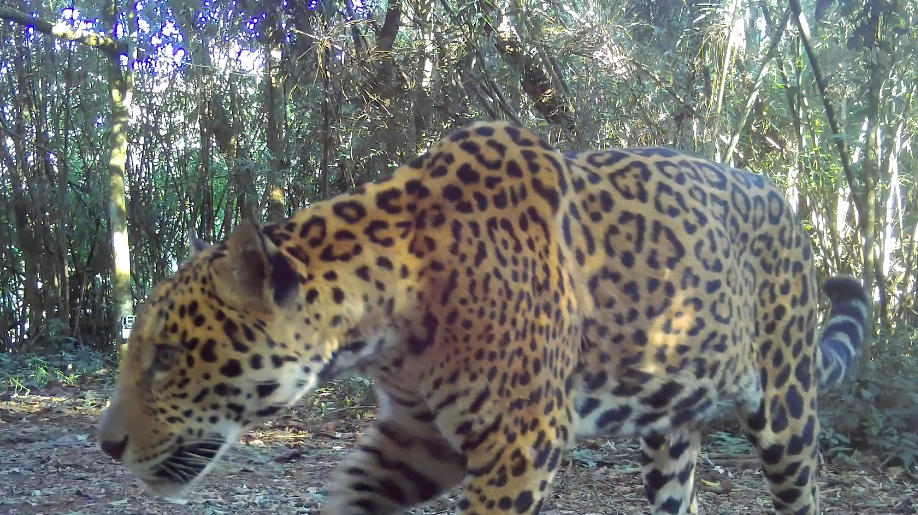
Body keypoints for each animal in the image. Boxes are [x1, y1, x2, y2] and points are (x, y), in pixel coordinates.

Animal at [97, 120, 869, 515]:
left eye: (168, 356)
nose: (105, 445)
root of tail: (787, 205)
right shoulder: (416, 436)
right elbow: (353, 493)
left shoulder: (521, 439)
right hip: (670, 427)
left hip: (785, 408)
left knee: (801, 490)